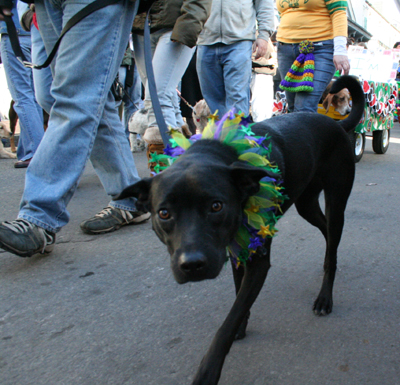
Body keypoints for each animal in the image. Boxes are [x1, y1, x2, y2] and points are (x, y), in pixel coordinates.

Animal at [116, 76, 366, 384]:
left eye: (216, 206)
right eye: (164, 213)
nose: (192, 266)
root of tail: (336, 124)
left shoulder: (258, 261)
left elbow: (229, 318)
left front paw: (209, 368)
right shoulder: (237, 248)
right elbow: (238, 298)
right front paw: (242, 324)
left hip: (336, 200)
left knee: (332, 237)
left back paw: (324, 297)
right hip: (306, 203)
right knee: (327, 232)